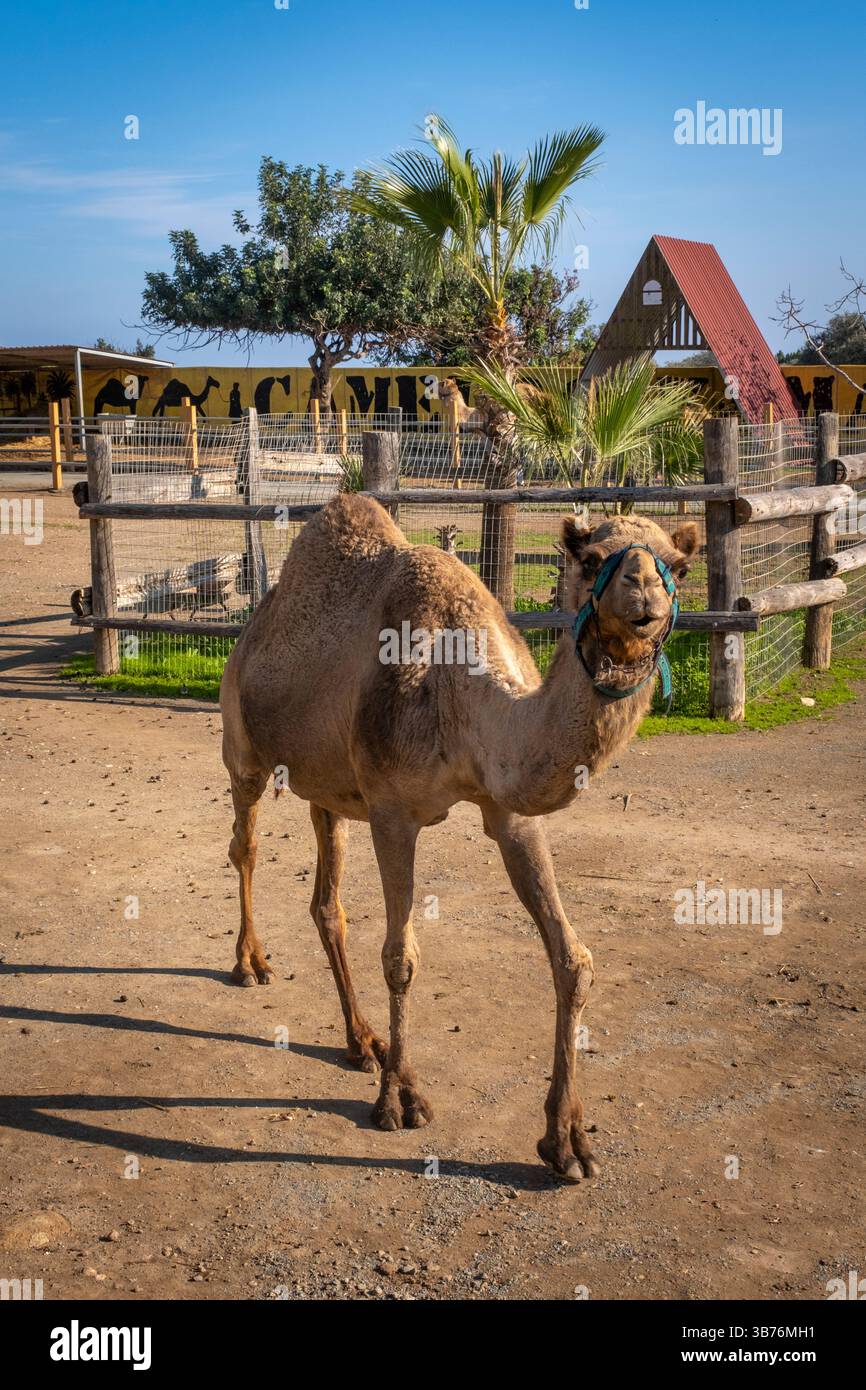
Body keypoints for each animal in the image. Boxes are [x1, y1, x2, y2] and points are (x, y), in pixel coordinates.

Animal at [220, 494, 697, 1181]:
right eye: (590, 558)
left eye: (679, 567)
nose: (643, 597)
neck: (462, 691)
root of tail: (251, 629)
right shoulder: (393, 810)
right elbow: (400, 958)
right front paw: (400, 1099)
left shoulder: (511, 813)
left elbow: (572, 959)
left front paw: (568, 1139)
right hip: (242, 746)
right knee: (246, 846)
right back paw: (251, 963)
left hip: (327, 788)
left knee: (326, 902)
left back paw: (362, 1041)